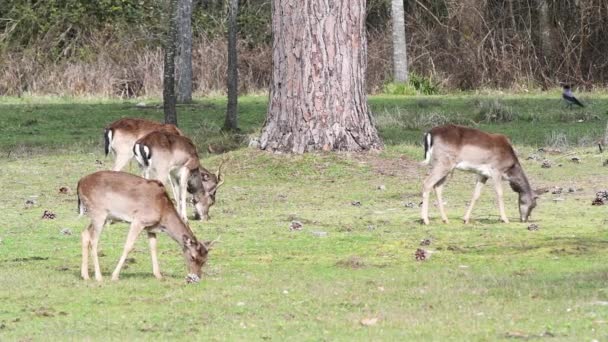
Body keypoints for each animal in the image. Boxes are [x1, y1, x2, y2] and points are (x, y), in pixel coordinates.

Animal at [77, 170, 217, 280]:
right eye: (193, 257)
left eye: (205, 259)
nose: (196, 277)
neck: (163, 211)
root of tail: (79, 184)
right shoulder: (139, 220)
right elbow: (128, 246)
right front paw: (114, 276)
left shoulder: (151, 227)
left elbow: (153, 247)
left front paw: (159, 275)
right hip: (99, 213)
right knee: (94, 240)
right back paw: (98, 277)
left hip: (102, 217)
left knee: (85, 233)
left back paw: (85, 275)